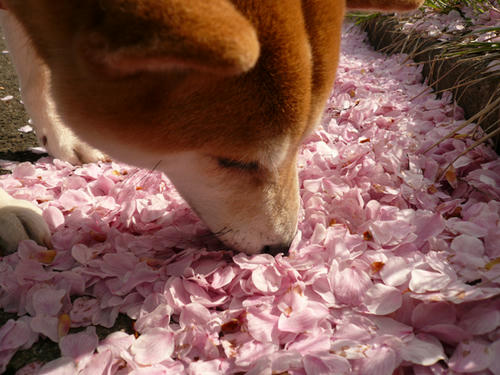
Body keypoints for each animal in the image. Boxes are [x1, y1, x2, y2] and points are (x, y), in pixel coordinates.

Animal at [0, 0, 424, 256]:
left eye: (303, 144)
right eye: (234, 162)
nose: (282, 247)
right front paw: (7, 209)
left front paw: (60, 136)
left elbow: (35, 69)